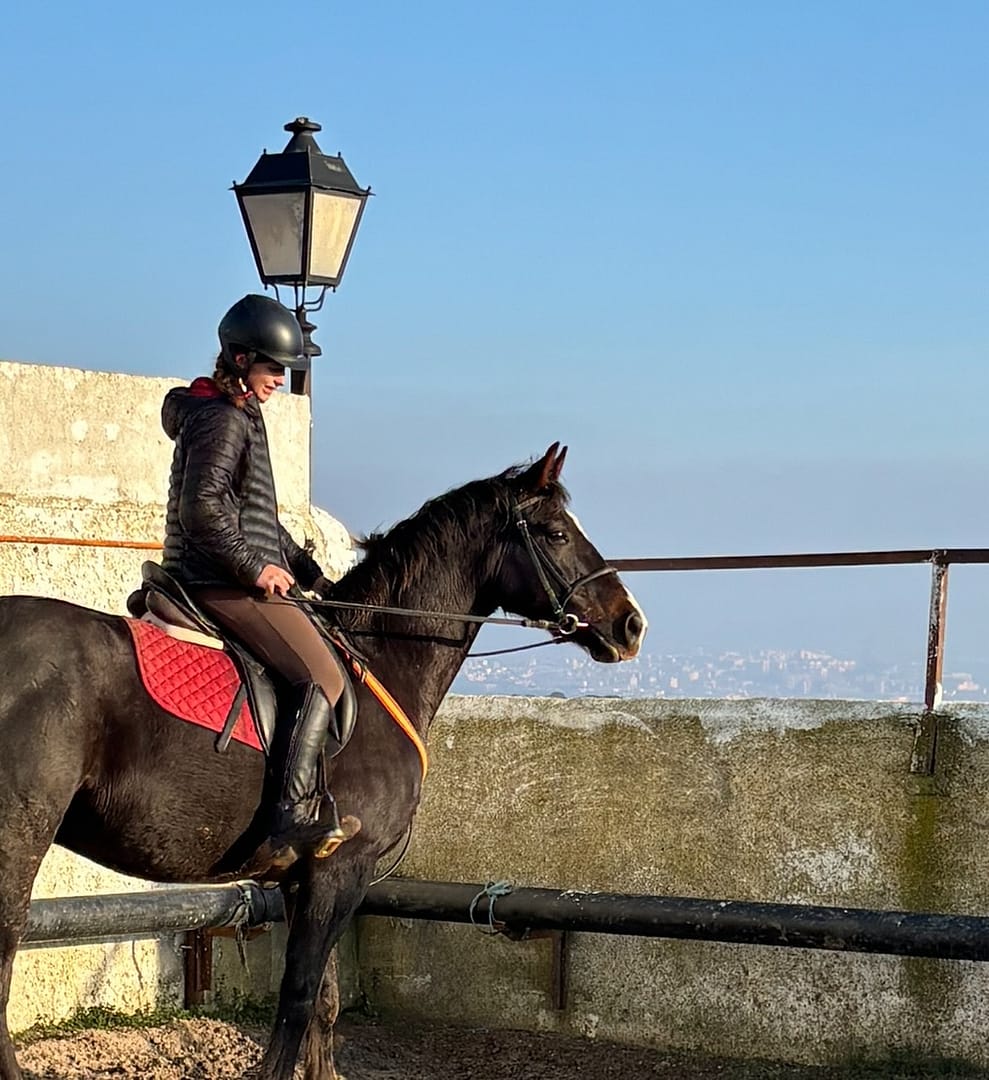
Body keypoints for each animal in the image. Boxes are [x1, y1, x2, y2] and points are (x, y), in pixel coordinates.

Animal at [0, 443, 646, 1080]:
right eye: (556, 532)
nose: (631, 624)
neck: (379, 660)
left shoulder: (307, 876)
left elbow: (324, 1003)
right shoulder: (343, 869)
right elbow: (298, 998)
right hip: (19, 837)